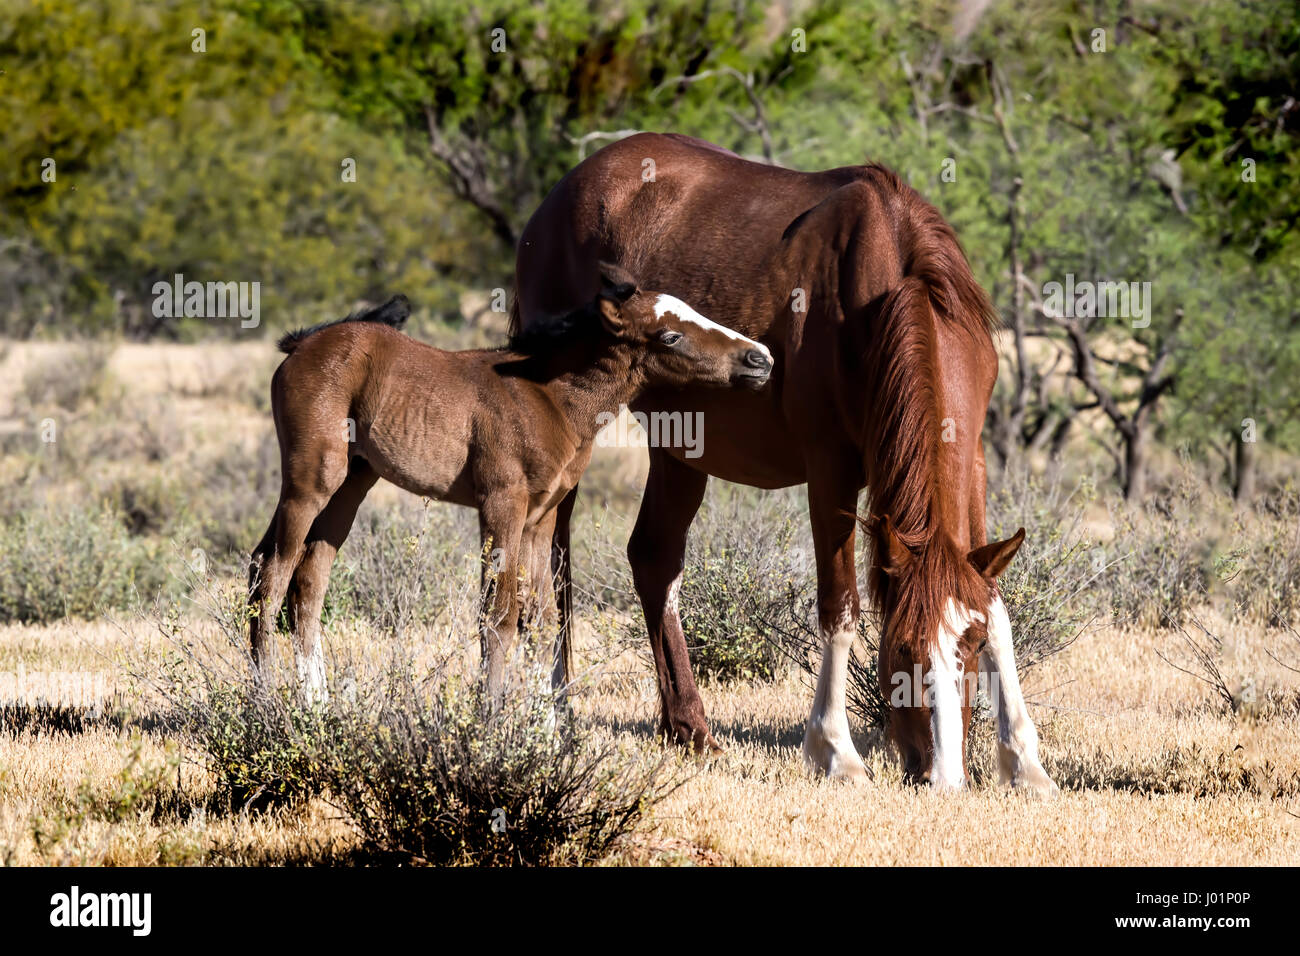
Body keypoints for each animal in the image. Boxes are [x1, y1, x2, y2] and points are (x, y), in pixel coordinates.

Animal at [246, 265, 764, 697]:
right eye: (670, 335)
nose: (759, 359)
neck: (548, 396)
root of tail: (301, 345)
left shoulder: (540, 518)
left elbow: (542, 618)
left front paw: (542, 732)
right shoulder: (501, 506)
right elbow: (500, 617)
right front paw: (490, 724)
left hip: (352, 484)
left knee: (303, 581)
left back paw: (316, 706)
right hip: (313, 479)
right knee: (272, 577)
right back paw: (266, 703)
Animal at [506, 134, 1055, 790]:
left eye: (966, 648)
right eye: (900, 650)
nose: (939, 775)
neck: (891, 287)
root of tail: (555, 201)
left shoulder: (970, 460)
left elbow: (995, 606)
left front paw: (1024, 761)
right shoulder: (831, 473)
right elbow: (840, 608)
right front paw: (835, 750)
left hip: (679, 446)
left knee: (653, 559)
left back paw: (688, 728)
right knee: (553, 567)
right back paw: (556, 715)